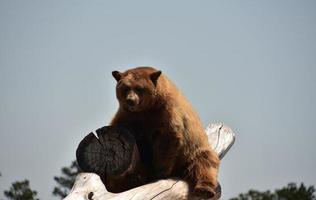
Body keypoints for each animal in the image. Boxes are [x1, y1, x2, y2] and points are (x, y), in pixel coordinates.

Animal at [108, 66, 220, 198]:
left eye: (139, 88)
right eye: (125, 88)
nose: (130, 100)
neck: (146, 109)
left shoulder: (166, 111)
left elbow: (168, 137)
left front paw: (159, 172)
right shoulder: (127, 116)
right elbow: (119, 128)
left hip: (193, 150)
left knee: (204, 163)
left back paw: (204, 189)